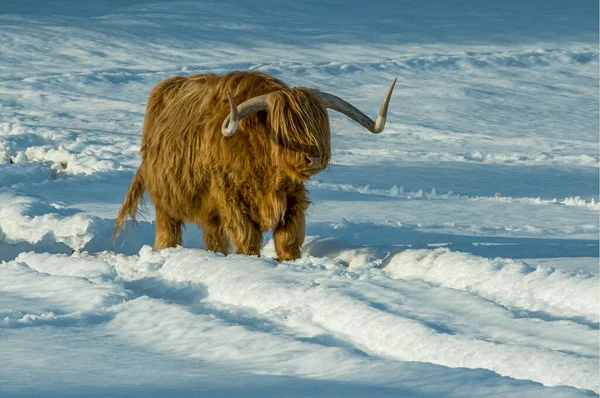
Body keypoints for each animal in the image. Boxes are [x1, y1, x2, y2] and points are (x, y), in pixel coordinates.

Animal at [115, 71, 396, 262]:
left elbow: (288, 237)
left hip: (208, 214)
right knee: (168, 231)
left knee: (214, 237)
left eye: (319, 125)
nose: (314, 159)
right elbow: (247, 236)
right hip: (165, 200)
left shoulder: (293, 197)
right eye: (286, 128)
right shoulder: (230, 196)